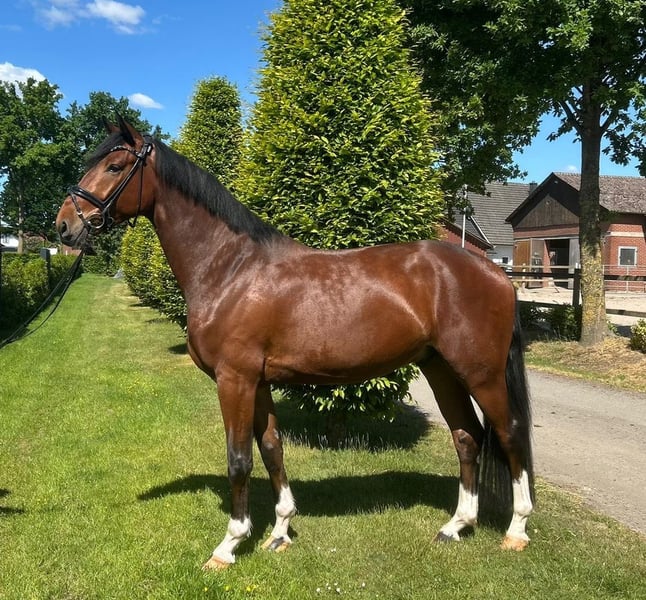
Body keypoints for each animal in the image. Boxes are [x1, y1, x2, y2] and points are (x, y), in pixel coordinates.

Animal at [56, 118, 534, 569]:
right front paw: (280, 531)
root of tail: (496, 273)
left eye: (115, 166)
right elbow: (271, 449)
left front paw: (229, 545)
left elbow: (239, 459)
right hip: (441, 369)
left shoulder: (235, 380)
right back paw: (456, 526)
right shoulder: (259, 382)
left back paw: (517, 530)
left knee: (509, 433)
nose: (64, 225)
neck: (231, 269)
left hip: (481, 373)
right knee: (467, 436)